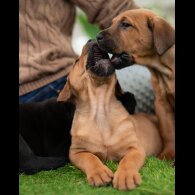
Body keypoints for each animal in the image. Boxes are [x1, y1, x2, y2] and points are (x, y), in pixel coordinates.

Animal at [57, 40, 161, 191]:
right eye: (76, 61)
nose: (90, 40)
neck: (100, 109)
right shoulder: (76, 152)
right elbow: (90, 158)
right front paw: (99, 173)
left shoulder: (135, 148)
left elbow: (128, 161)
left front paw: (125, 176)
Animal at [97, 8, 175, 160]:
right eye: (112, 22)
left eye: (125, 24)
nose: (97, 37)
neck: (163, 70)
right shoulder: (161, 103)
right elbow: (168, 132)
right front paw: (168, 155)